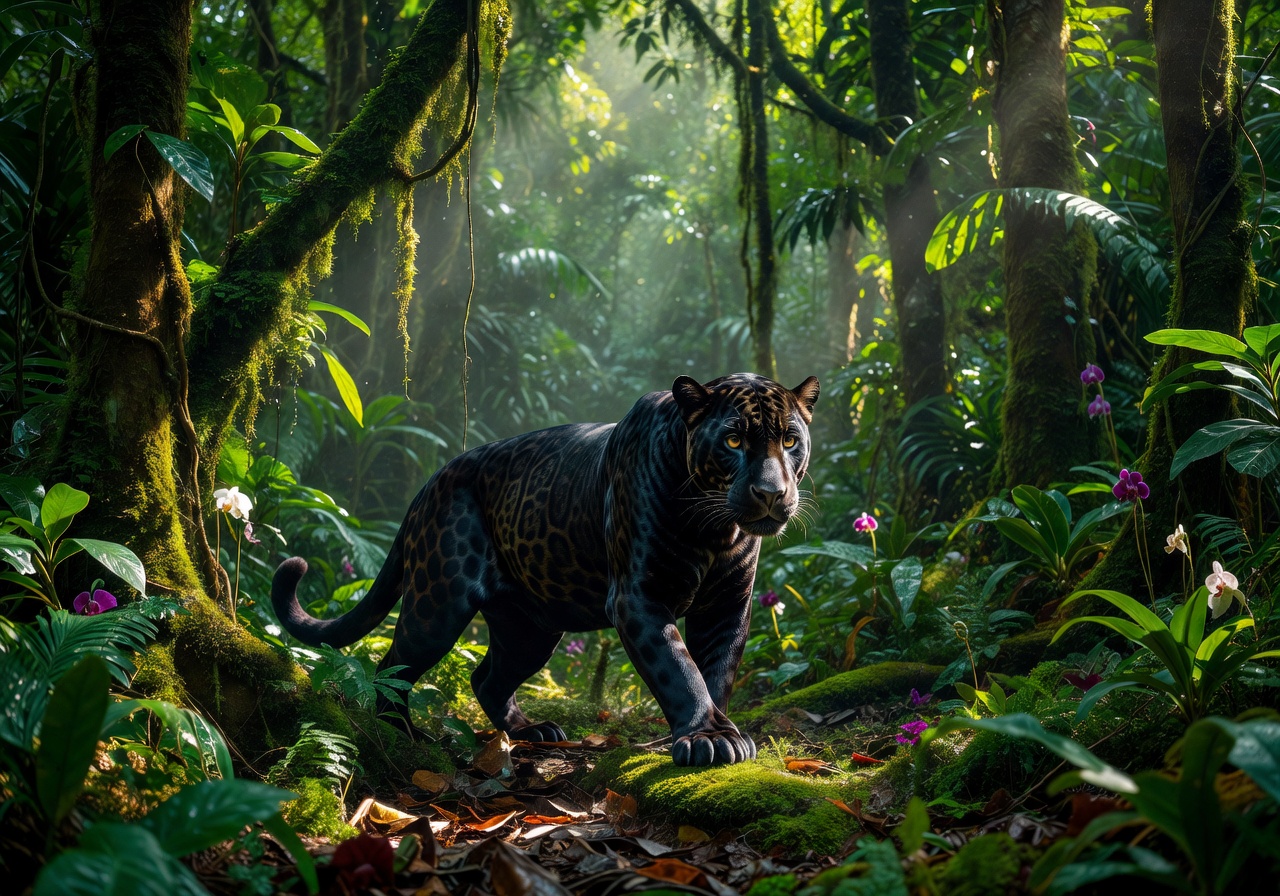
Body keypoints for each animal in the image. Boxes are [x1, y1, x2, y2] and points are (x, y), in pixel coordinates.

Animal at [271, 372, 820, 766]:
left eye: (790, 441)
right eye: (733, 442)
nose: (771, 492)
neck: (715, 531)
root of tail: (431, 481)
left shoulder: (728, 605)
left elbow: (716, 670)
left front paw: (720, 731)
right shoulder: (637, 598)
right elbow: (679, 668)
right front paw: (707, 737)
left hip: (530, 628)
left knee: (488, 678)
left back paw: (530, 731)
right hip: (437, 603)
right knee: (393, 667)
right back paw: (404, 736)